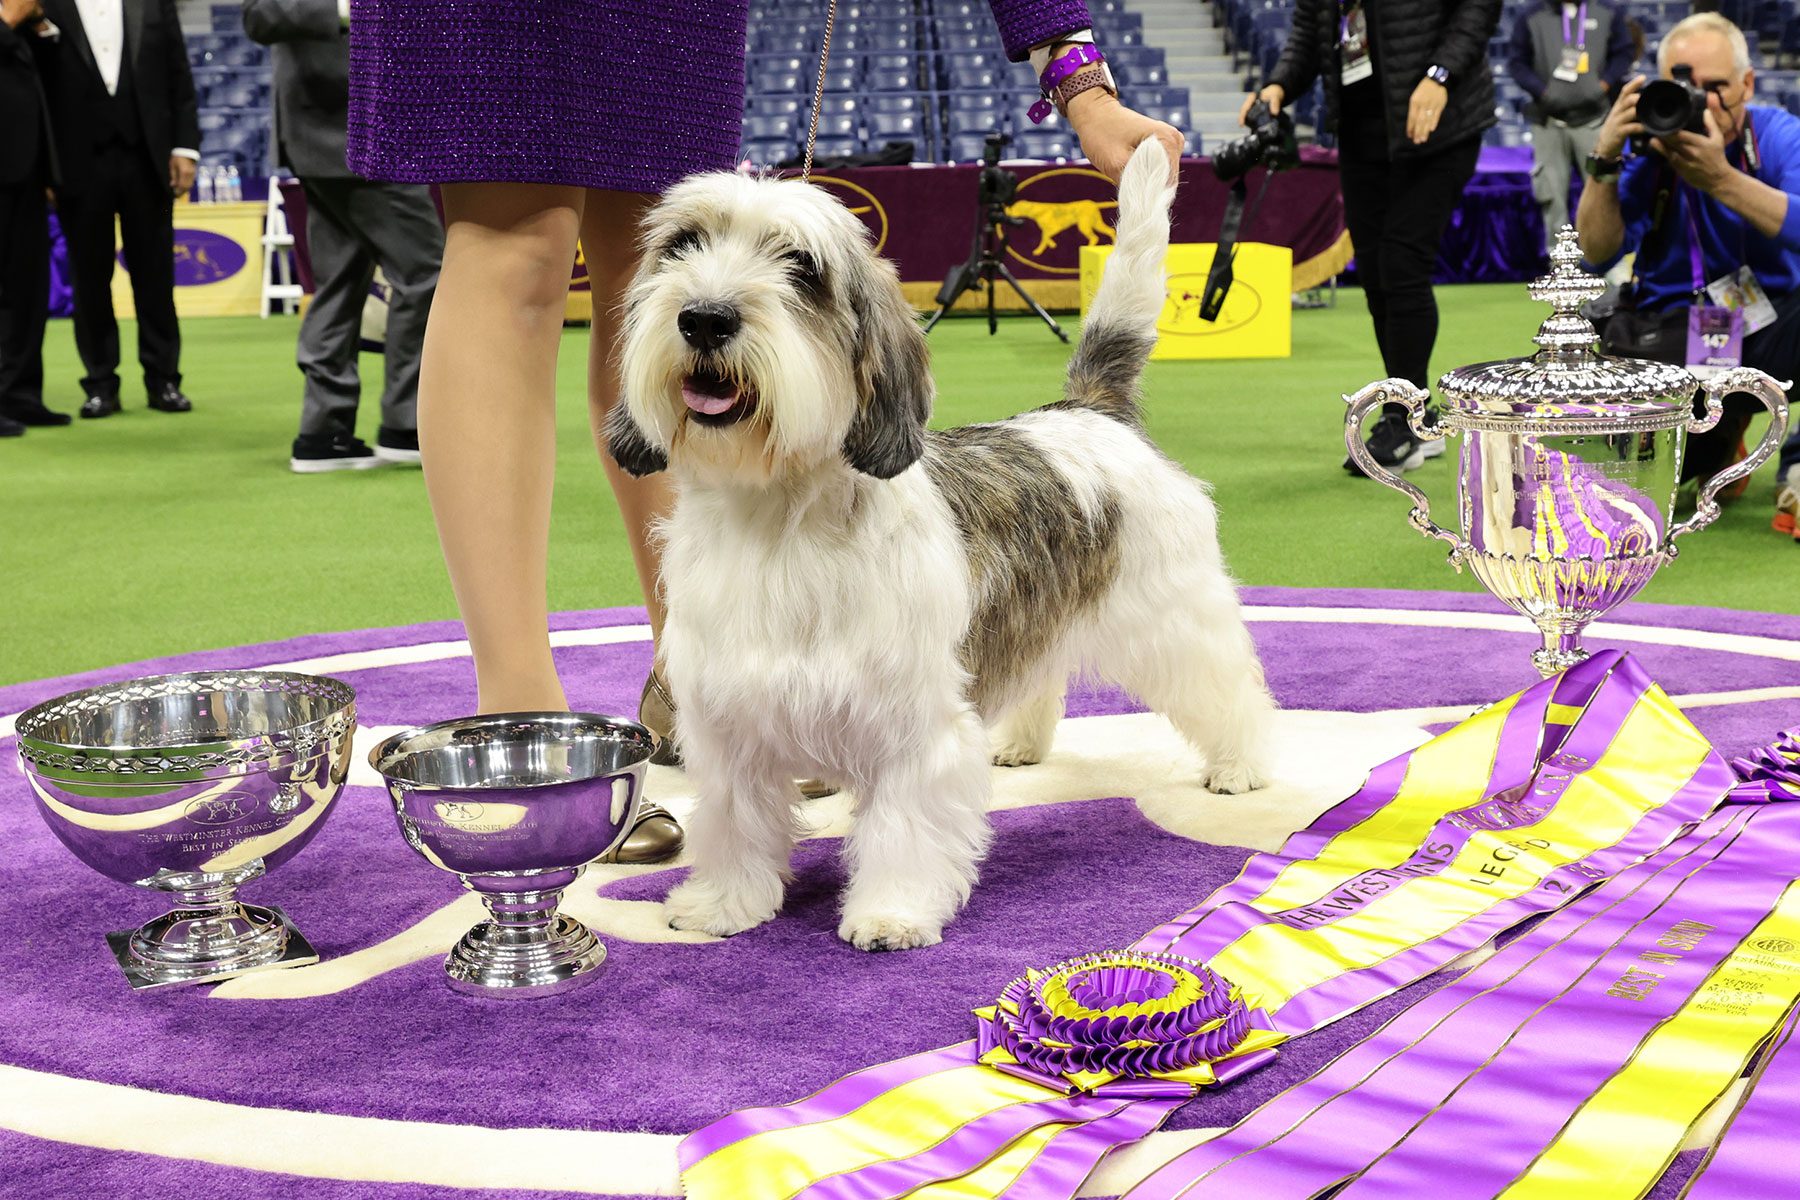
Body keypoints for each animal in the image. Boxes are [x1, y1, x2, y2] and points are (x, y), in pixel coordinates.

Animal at [612, 141, 1274, 949]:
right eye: (683, 246)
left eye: (801, 267)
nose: (705, 318)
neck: (781, 522)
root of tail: (1089, 408)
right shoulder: (730, 720)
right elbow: (736, 822)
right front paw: (724, 904)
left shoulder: (913, 726)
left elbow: (903, 827)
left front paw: (890, 912)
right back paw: (1022, 742)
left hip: (1175, 615)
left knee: (1228, 686)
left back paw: (1241, 764)